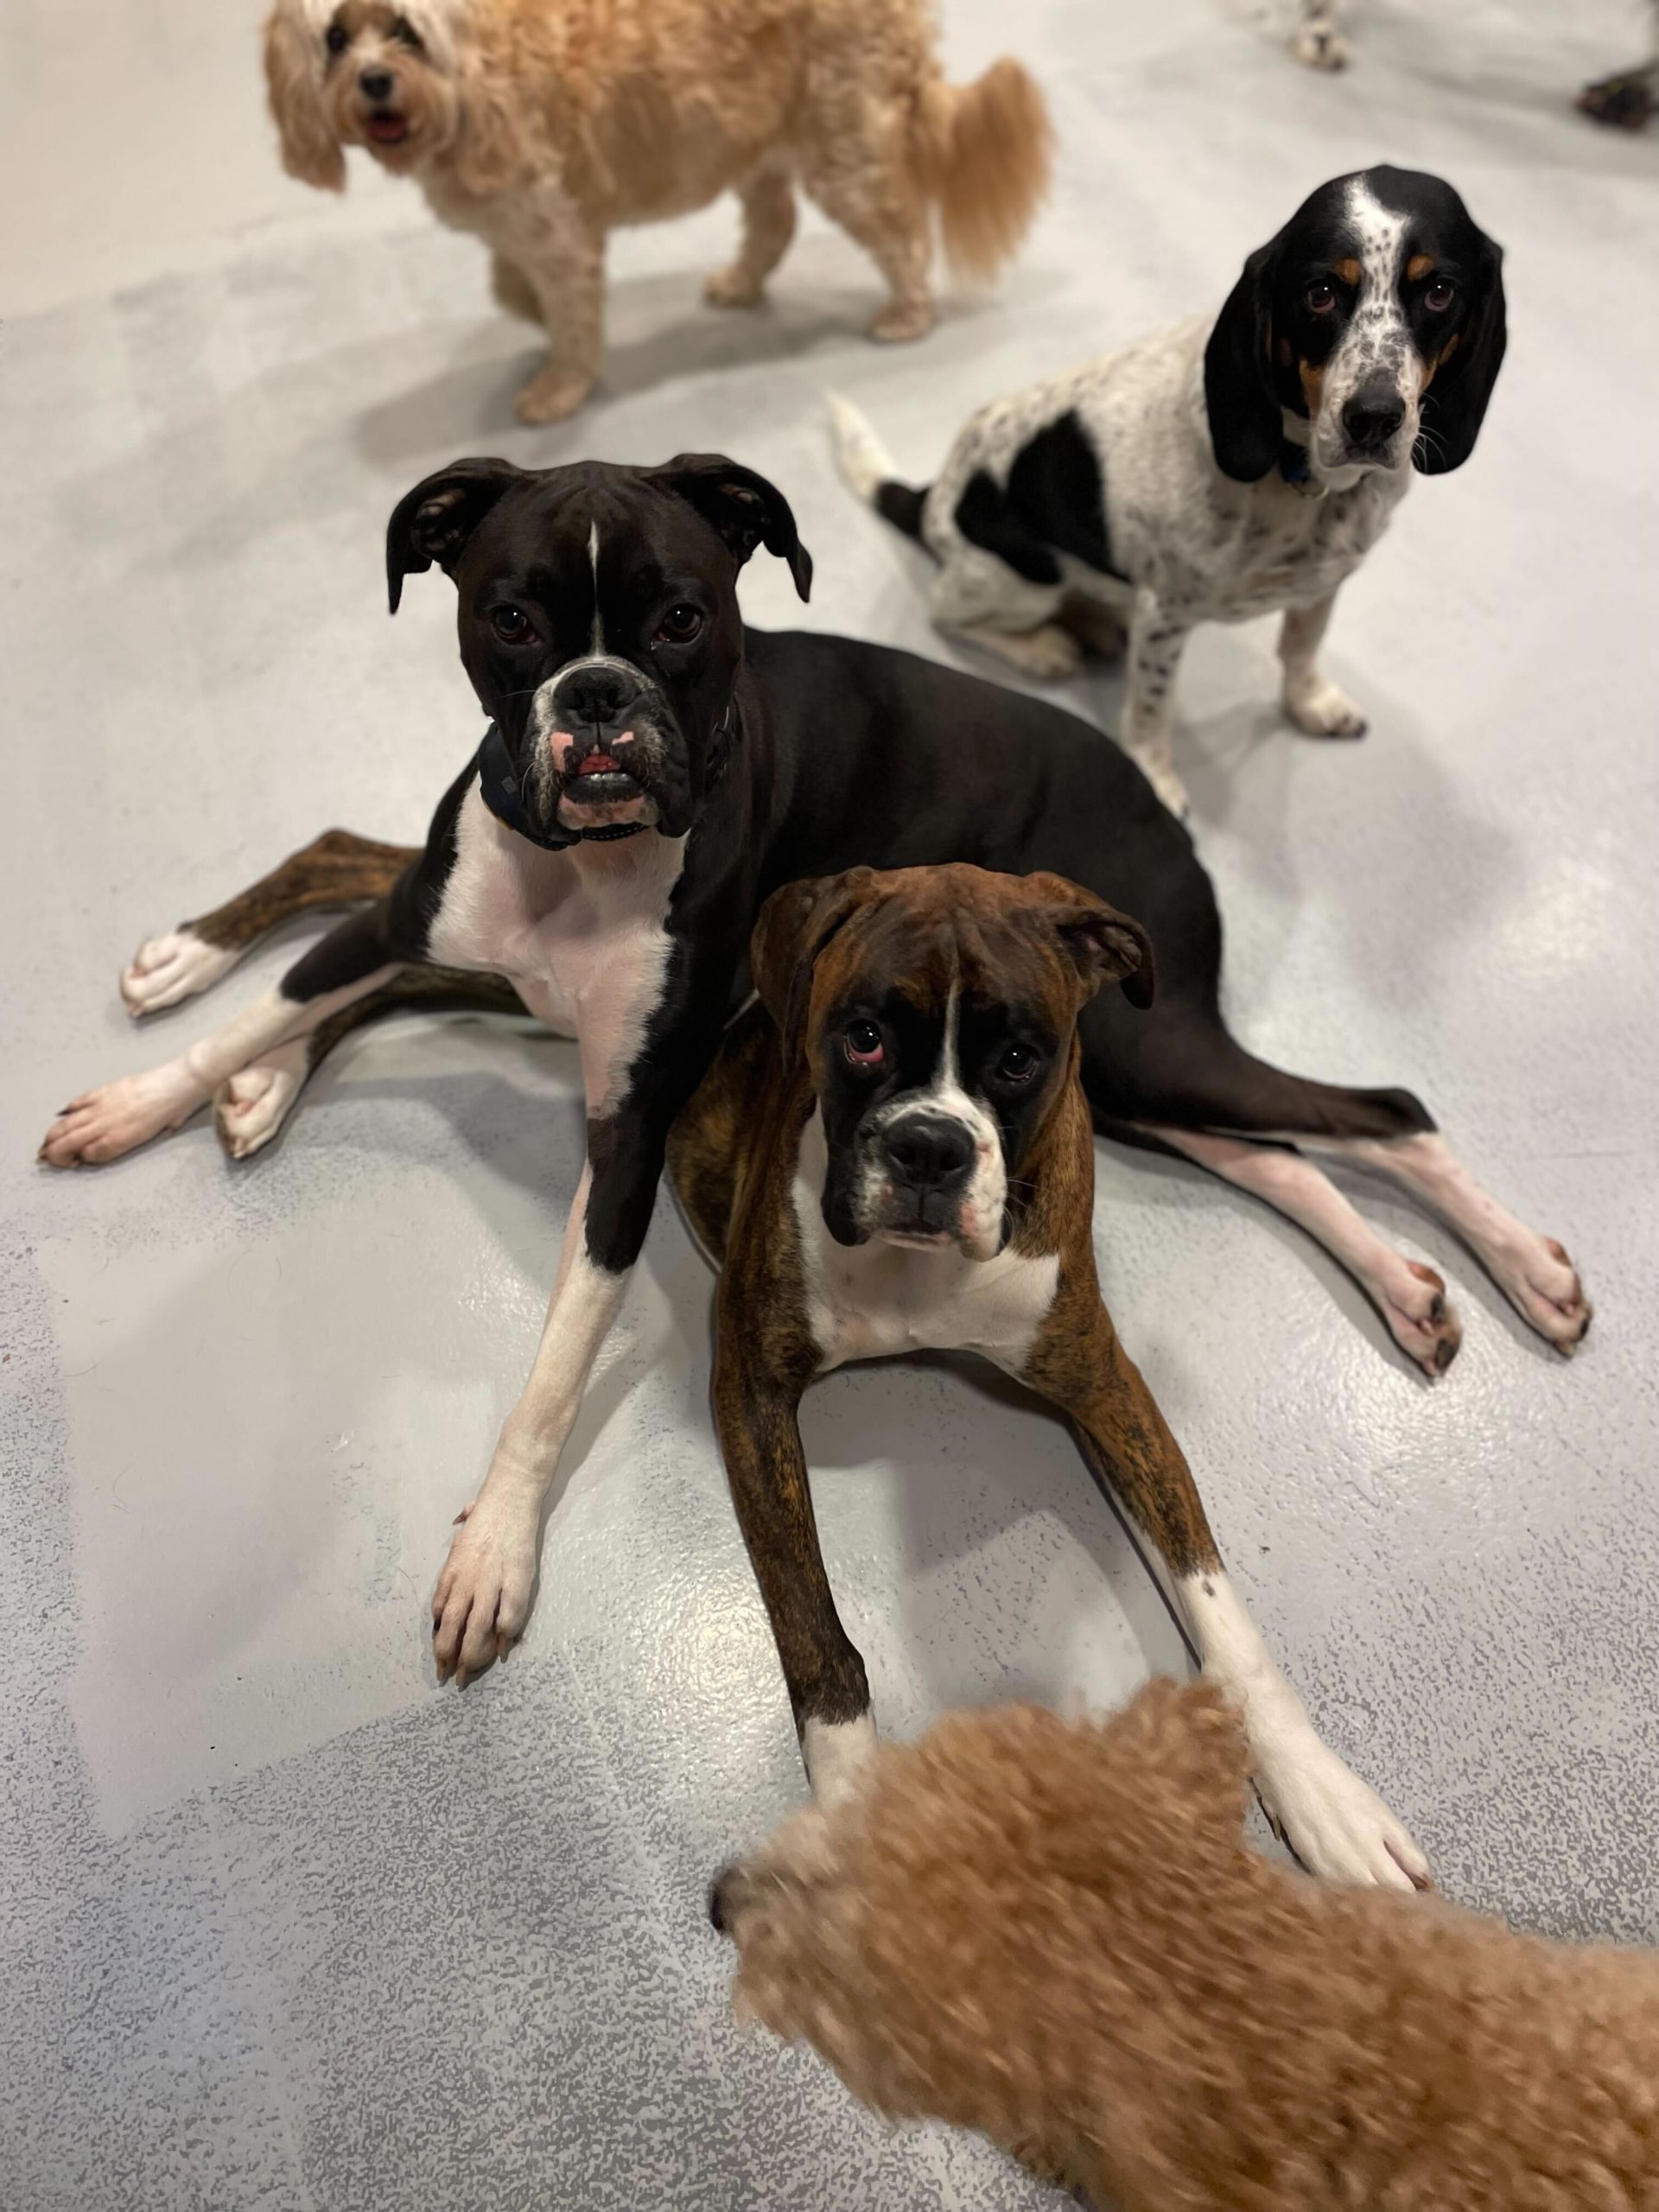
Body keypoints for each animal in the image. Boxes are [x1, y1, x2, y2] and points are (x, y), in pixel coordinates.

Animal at [39, 457, 1592, 1858]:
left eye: (681, 619)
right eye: (512, 618)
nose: (594, 700)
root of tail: (1153, 790)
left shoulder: (1076, 1367)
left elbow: (1219, 1606)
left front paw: (1322, 1802)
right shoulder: (716, 1313)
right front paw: (156, 1092)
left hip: (1137, 1050)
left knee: (1370, 1110)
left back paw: (1493, 1269)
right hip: (1117, 1062)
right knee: (351, 876)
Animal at [267, 0, 1057, 420]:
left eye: (405, 29)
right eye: (335, 38)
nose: (374, 81)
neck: (471, 80)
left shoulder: (557, 229)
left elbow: (569, 316)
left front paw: (559, 384)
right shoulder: (519, 225)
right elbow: (510, 287)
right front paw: (533, 321)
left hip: (845, 148)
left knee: (903, 233)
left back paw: (907, 313)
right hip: (753, 143)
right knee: (775, 225)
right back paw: (740, 284)